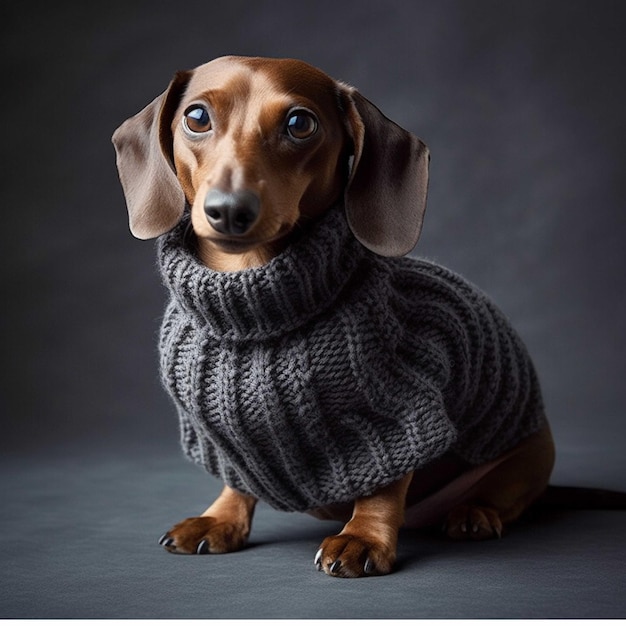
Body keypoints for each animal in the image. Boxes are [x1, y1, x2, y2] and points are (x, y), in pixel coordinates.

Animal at [111, 56, 560, 576]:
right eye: (197, 117)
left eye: (299, 124)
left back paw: (475, 513)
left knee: (503, 494)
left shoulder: (400, 416)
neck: (255, 311)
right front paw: (220, 519)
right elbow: (237, 481)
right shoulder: (229, 445)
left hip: (528, 454)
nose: (229, 210)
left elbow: (384, 487)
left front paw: (363, 538)